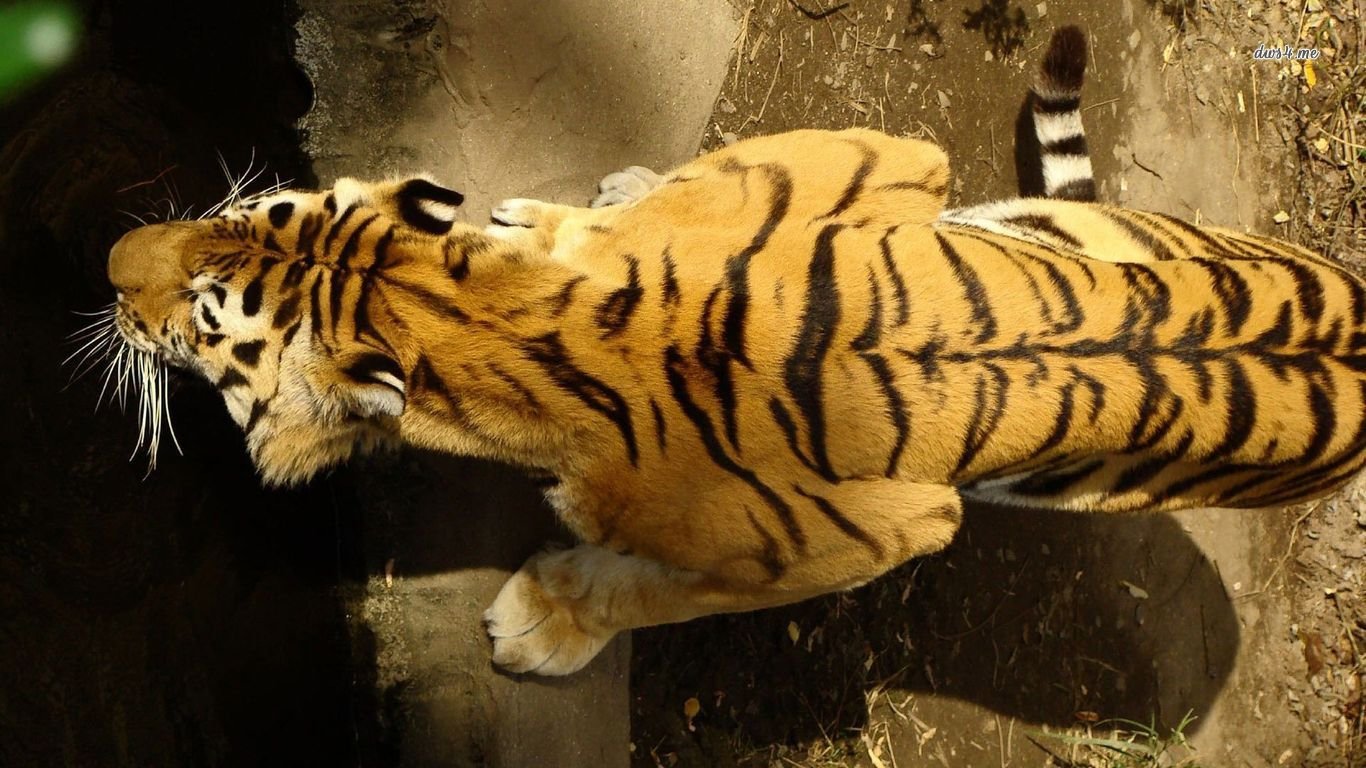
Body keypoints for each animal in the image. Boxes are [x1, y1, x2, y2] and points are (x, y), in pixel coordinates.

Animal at [103, 27, 1366, 676]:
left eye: (204, 313)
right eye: (249, 204)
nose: (111, 258)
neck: (486, 313)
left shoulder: (870, 533)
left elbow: (665, 595)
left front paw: (545, 622)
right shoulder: (883, 159)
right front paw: (583, 208)